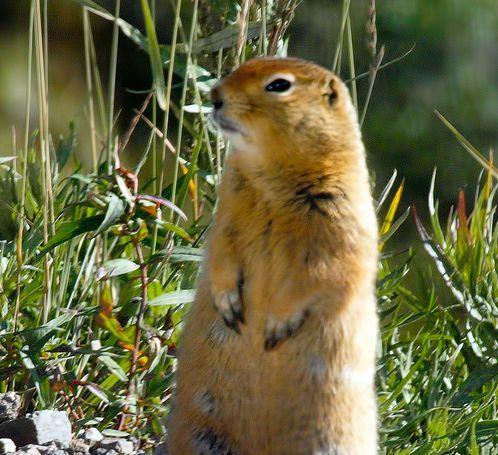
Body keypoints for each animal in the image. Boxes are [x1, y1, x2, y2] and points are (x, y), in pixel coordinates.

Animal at [169, 57, 380, 455]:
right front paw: (229, 306)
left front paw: (276, 325)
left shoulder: (339, 220)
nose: (214, 95)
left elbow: (323, 271)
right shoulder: (228, 210)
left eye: (279, 85)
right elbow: (221, 251)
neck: (272, 181)